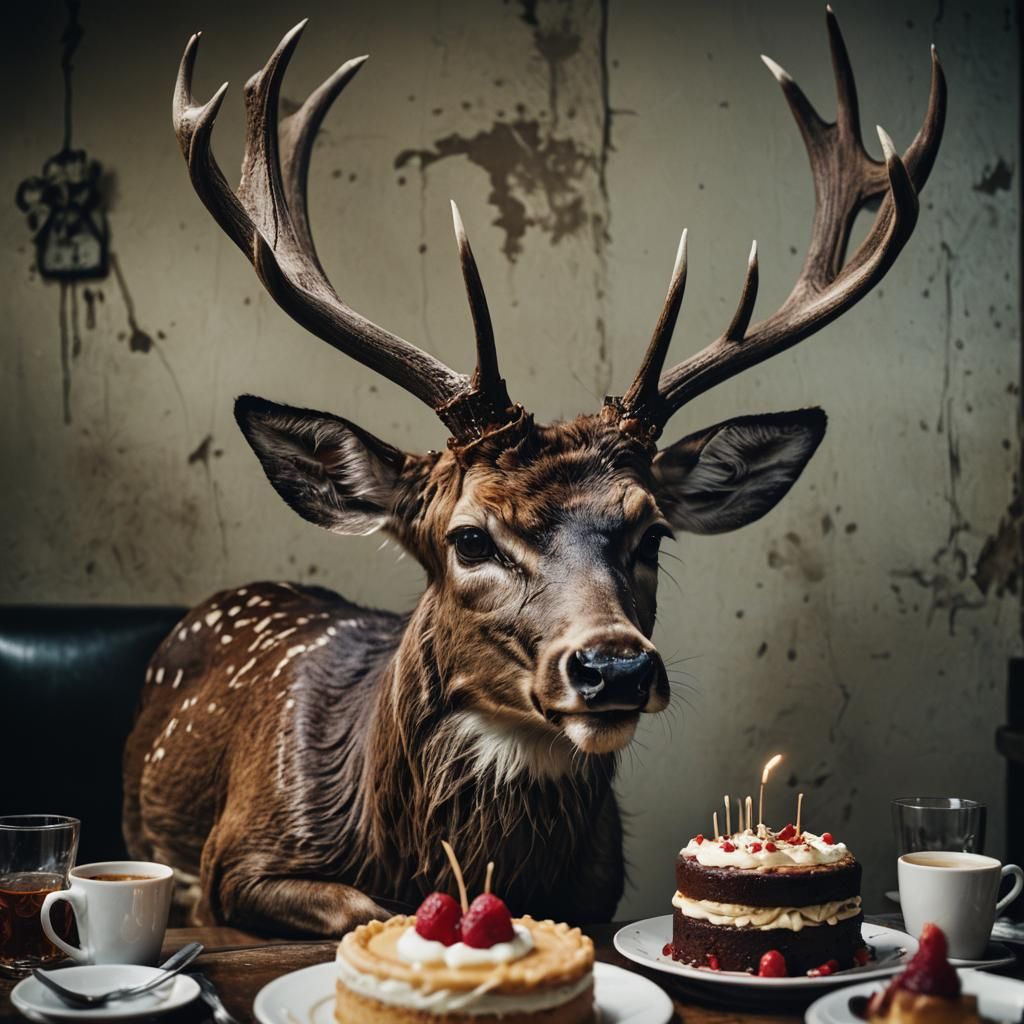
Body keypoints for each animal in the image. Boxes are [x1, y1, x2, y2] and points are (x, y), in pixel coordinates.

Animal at [122, 9, 945, 936]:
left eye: (651, 533)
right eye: (470, 539)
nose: (615, 667)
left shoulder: (602, 886)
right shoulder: (241, 858)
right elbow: (352, 909)